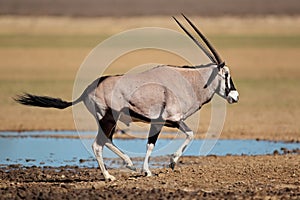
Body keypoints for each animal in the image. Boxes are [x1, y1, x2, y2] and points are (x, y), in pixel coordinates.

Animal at [15, 13, 239, 180]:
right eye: (227, 74)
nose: (235, 97)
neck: (189, 81)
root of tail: (88, 89)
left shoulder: (166, 122)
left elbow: (168, 139)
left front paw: (159, 166)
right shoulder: (166, 120)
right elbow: (171, 139)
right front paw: (159, 167)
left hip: (109, 121)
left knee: (106, 140)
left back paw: (128, 164)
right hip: (107, 118)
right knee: (98, 144)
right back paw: (110, 176)